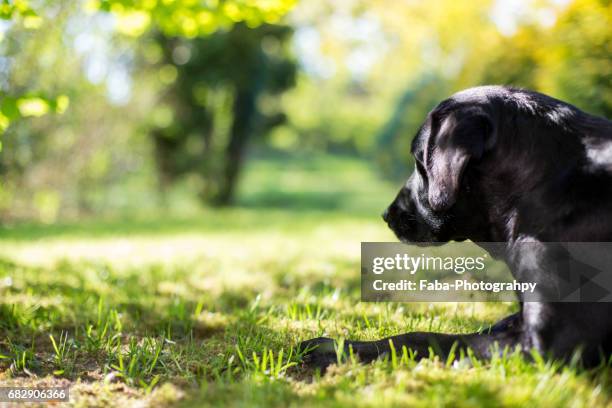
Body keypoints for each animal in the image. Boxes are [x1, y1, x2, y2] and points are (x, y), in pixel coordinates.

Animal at [300, 86, 612, 370]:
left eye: (419, 161)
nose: (387, 215)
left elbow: (426, 337)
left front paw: (336, 349)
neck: (542, 184)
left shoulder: (551, 344)